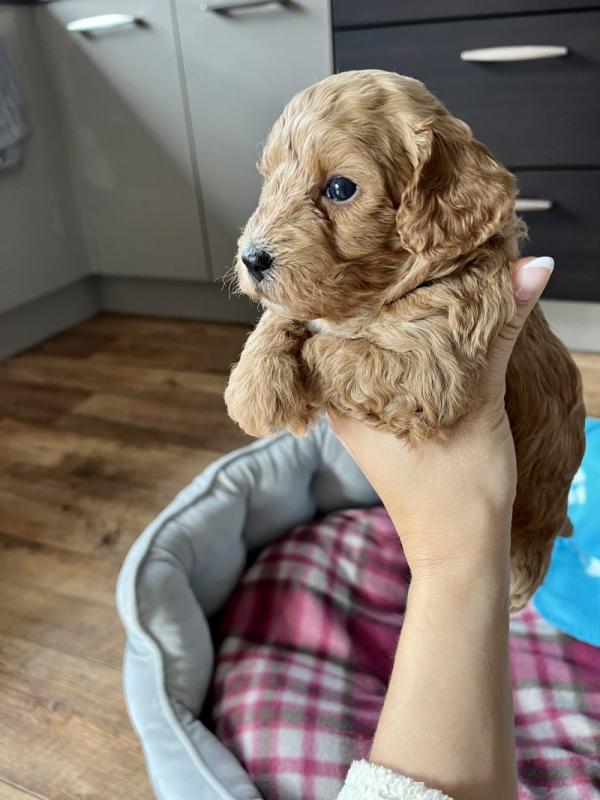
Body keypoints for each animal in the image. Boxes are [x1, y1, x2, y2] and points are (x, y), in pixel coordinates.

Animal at [225, 69, 584, 608]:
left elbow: (328, 345)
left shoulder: (429, 364)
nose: (252, 258)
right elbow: (287, 315)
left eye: (340, 187)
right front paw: (254, 387)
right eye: (269, 180)